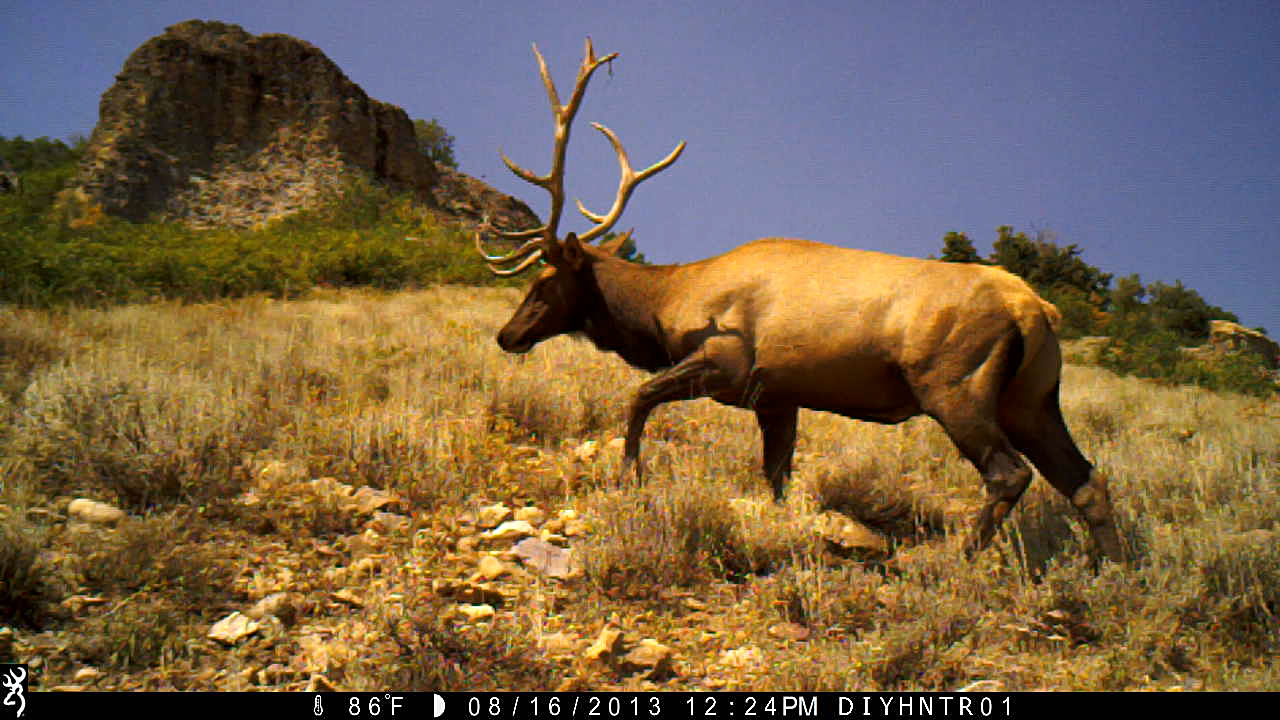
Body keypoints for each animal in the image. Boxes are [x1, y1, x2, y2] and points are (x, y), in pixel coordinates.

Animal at [475, 38, 1124, 564]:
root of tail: (1035, 311)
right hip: (1033, 398)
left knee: (1010, 474)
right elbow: (777, 474)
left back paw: (959, 560)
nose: (508, 334)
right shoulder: (777, 395)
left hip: (956, 385)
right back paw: (1113, 572)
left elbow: (638, 399)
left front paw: (630, 476)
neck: (665, 308)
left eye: (542, 281)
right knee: (1085, 480)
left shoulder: (725, 363)